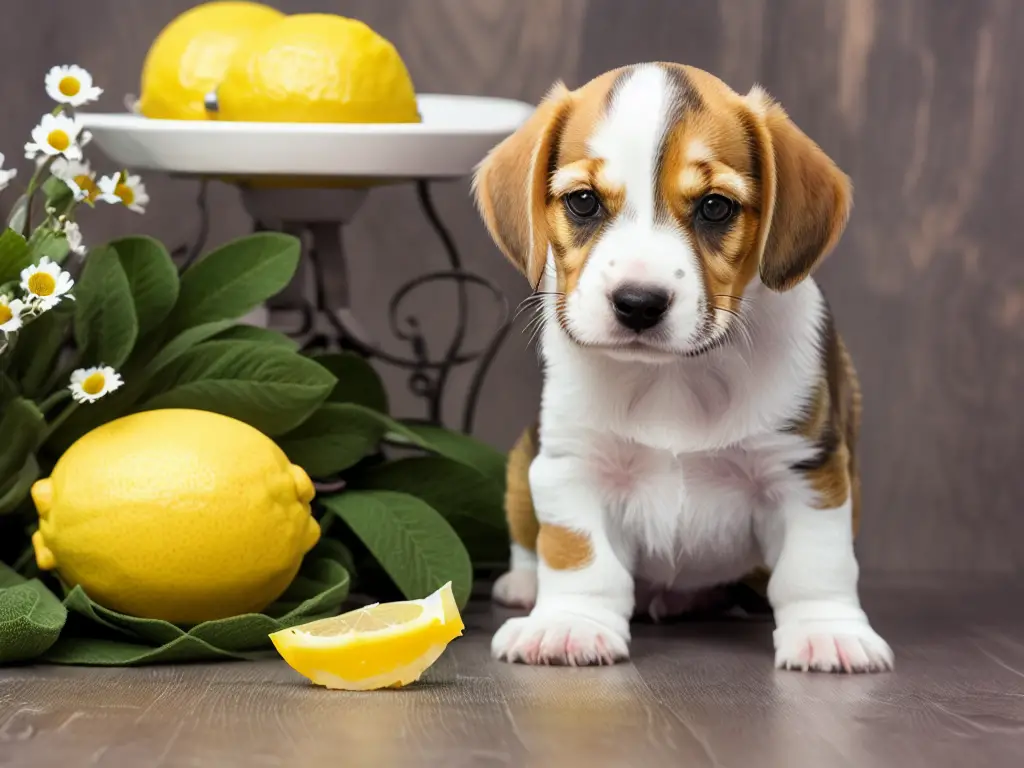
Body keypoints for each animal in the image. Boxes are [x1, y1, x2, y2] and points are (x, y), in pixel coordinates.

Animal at [475, 63, 892, 671]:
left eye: (715, 207)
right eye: (583, 202)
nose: (638, 303)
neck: (672, 376)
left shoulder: (805, 467)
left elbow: (815, 564)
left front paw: (827, 630)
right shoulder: (573, 463)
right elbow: (579, 554)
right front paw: (569, 624)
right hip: (522, 459)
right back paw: (525, 585)